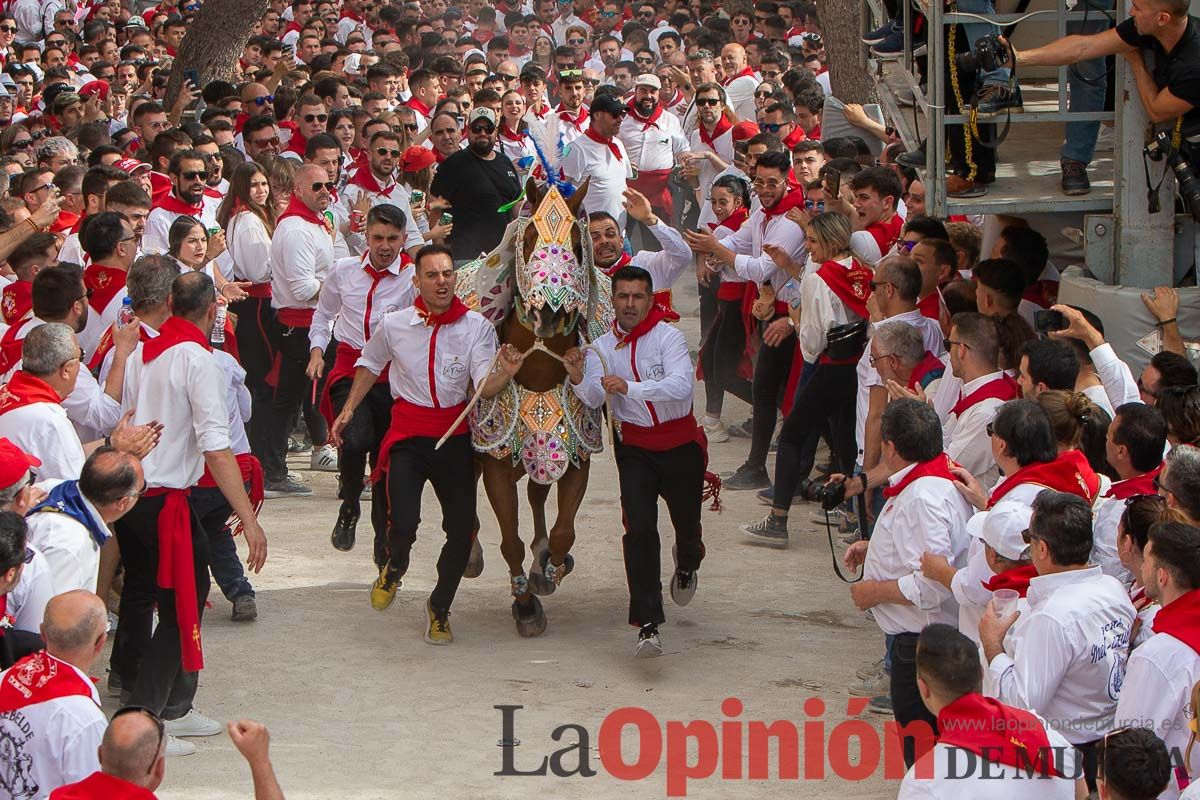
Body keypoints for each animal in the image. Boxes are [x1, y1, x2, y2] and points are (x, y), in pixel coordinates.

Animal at [456, 176, 614, 638]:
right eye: (527, 241)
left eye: (578, 244)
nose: (550, 312)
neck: (539, 370)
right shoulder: (494, 461)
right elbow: (509, 540)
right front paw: (525, 607)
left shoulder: (575, 453)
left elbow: (564, 532)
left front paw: (550, 567)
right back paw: (471, 553)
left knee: (538, 493)